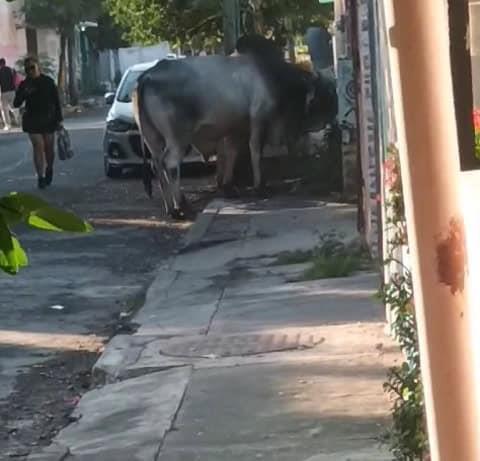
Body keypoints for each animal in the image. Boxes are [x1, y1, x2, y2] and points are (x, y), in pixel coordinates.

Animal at [133, 50, 338, 219]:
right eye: (326, 92)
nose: (335, 114)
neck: (273, 77)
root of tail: (147, 76)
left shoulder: (236, 129)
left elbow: (231, 153)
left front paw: (228, 187)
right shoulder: (258, 120)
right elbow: (255, 151)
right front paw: (259, 187)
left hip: (153, 139)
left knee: (157, 165)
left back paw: (170, 208)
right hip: (177, 138)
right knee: (170, 164)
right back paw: (182, 207)